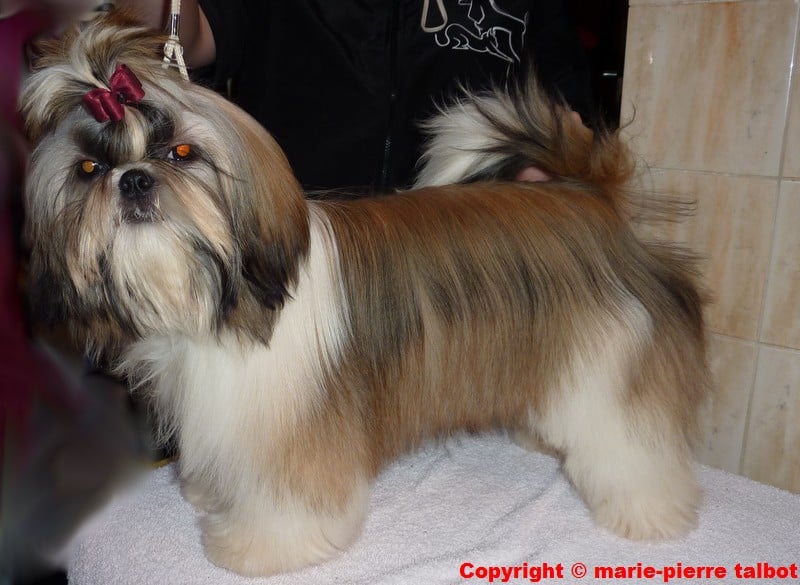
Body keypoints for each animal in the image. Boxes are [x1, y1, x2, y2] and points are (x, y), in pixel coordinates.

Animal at [21, 12, 709, 576]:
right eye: (88, 170)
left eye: (180, 152)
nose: (133, 180)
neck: (220, 295)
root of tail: (589, 196)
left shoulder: (291, 428)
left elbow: (289, 502)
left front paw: (259, 547)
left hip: (614, 367)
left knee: (634, 443)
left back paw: (648, 513)